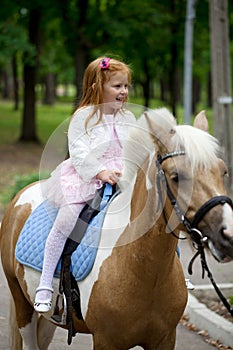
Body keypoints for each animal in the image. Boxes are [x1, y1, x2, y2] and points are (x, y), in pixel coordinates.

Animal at [0, 108, 233, 348]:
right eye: (176, 177)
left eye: (223, 171)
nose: (227, 235)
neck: (143, 268)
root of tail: (21, 194)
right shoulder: (106, 341)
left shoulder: (165, 339)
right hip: (22, 304)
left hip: (48, 321)